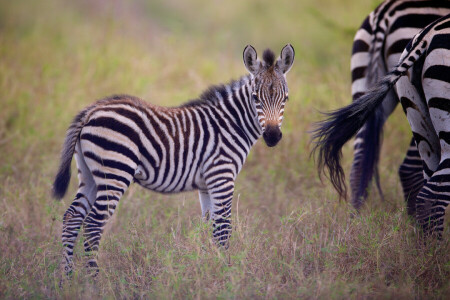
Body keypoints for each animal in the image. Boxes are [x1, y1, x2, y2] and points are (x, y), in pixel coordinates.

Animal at [52, 44, 296, 276]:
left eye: (285, 98)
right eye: (255, 98)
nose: (272, 136)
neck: (231, 124)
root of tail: (91, 110)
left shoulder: (206, 185)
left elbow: (208, 226)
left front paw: (206, 268)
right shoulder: (222, 176)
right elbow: (223, 229)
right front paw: (227, 273)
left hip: (89, 174)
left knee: (72, 217)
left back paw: (67, 279)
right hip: (115, 171)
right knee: (93, 224)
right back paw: (94, 279)